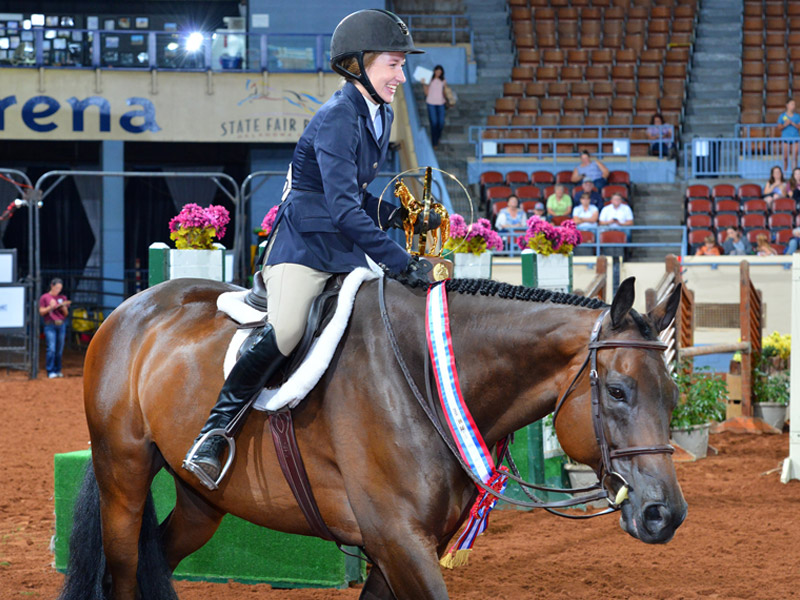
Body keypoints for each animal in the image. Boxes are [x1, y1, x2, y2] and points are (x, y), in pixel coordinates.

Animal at [59, 276, 684, 600]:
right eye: (619, 392)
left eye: (674, 395)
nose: (665, 514)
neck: (427, 378)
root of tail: (134, 306)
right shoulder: (398, 541)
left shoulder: (399, 550)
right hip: (123, 477)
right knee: (122, 572)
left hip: (201, 503)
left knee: (157, 558)